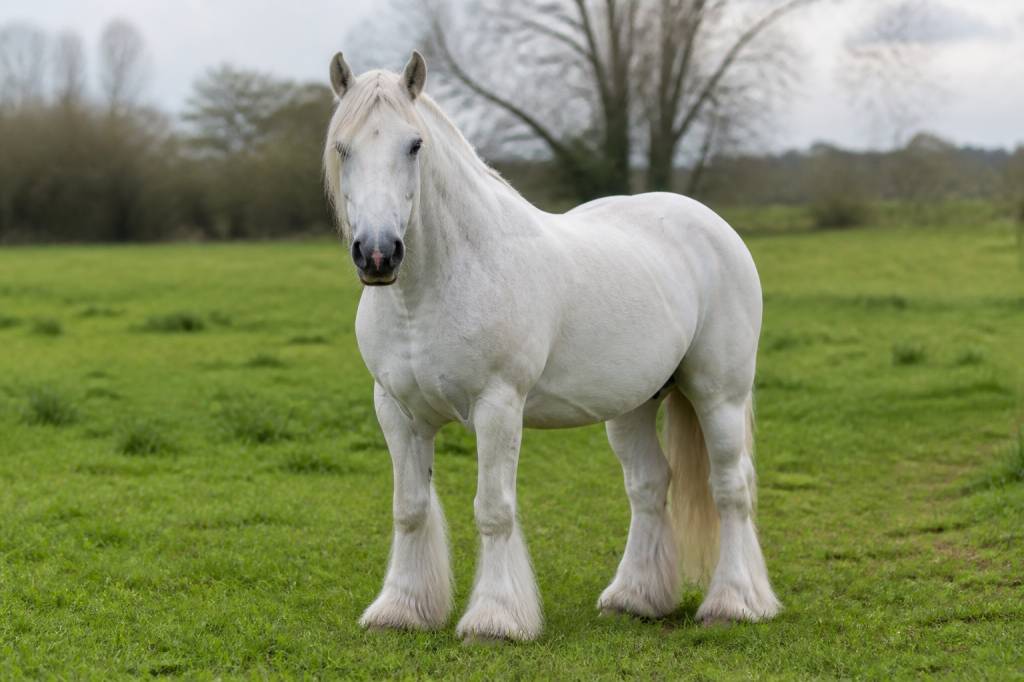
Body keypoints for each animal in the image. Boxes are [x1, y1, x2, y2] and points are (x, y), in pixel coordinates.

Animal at [323, 51, 780, 642]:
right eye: (343, 146)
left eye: (414, 144)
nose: (378, 254)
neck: (433, 288)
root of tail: (710, 223)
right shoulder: (397, 411)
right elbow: (410, 508)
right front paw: (401, 609)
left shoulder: (497, 406)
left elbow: (494, 509)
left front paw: (496, 619)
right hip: (633, 405)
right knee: (649, 486)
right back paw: (635, 598)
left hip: (717, 393)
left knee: (730, 487)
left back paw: (735, 602)